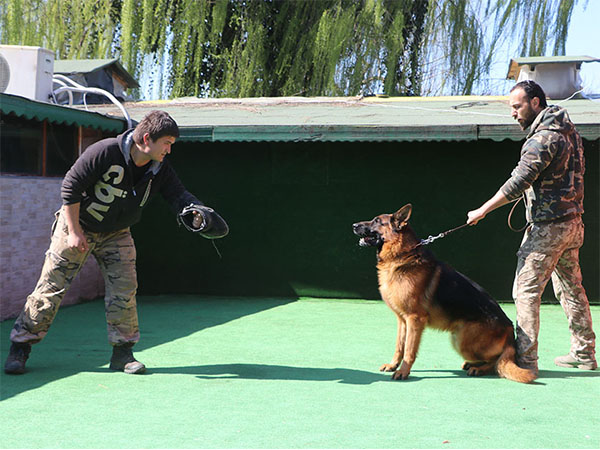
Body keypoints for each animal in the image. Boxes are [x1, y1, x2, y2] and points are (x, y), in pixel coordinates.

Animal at [352, 204, 536, 384]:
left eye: (377, 221)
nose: (353, 225)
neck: (402, 254)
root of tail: (510, 331)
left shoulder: (414, 319)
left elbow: (409, 350)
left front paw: (403, 372)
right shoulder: (402, 320)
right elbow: (399, 347)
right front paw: (393, 365)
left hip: (461, 340)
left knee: (497, 361)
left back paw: (479, 368)